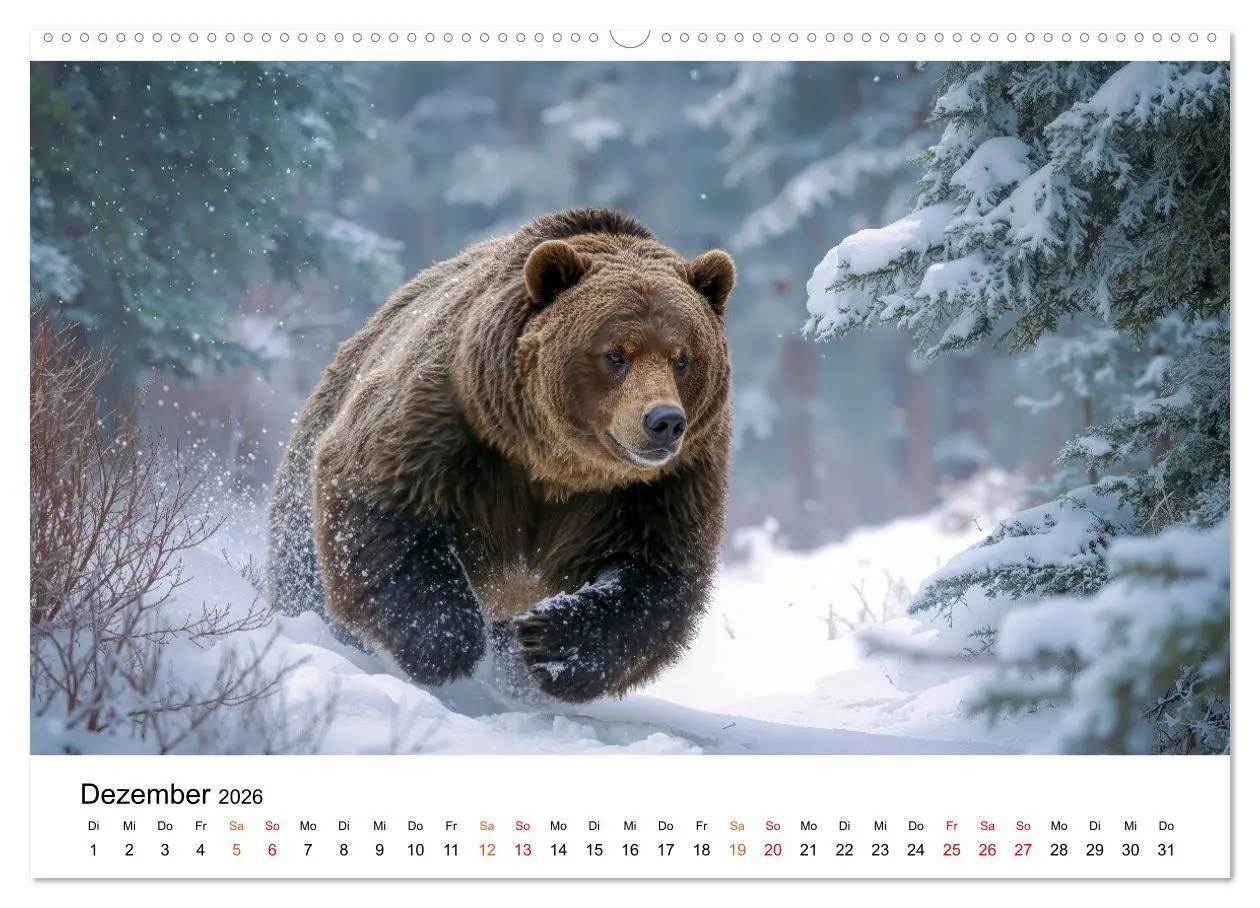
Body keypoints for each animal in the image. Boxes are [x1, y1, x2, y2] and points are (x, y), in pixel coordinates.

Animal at [266, 208, 735, 703]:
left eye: (682, 357)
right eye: (616, 354)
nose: (663, 421)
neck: (557, 466)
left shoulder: (661, 485)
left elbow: (656, 574)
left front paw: (549, 642)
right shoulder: (454, 423)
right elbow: (383, 502)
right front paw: (447, 640)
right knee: (304, 569)